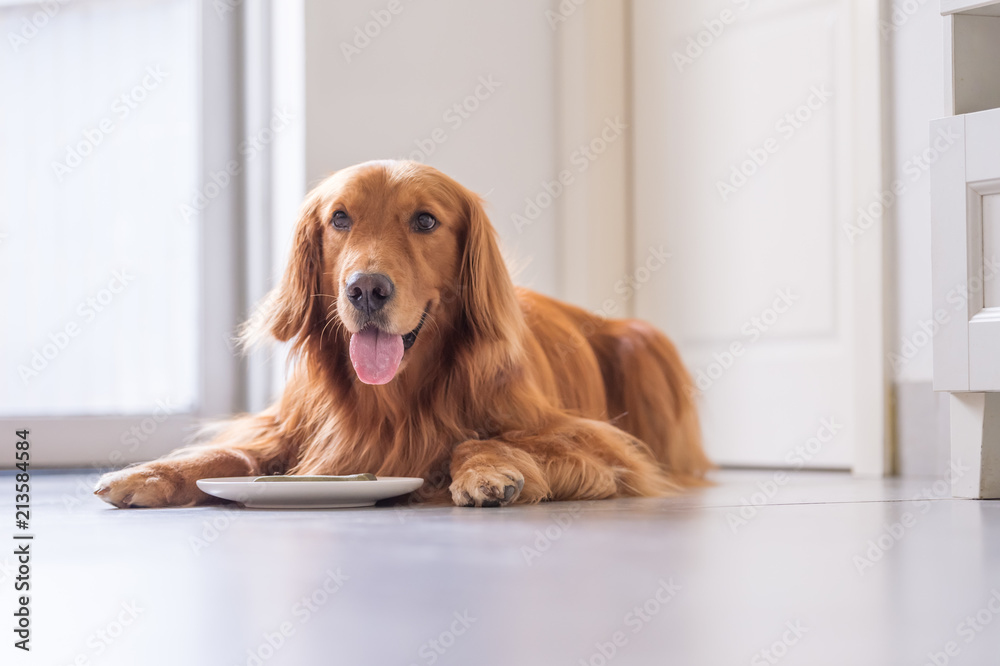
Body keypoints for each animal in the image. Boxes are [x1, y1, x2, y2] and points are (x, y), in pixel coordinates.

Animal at [95, 158, 712, 506]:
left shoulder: (599, 446)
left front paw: (490, 471)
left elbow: (478, 437)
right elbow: (235, 454)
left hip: (644, 343)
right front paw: (153, 471)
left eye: (425, 221)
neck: (393, 399)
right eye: (339, 218)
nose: (366, 289)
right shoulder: (287, 429)